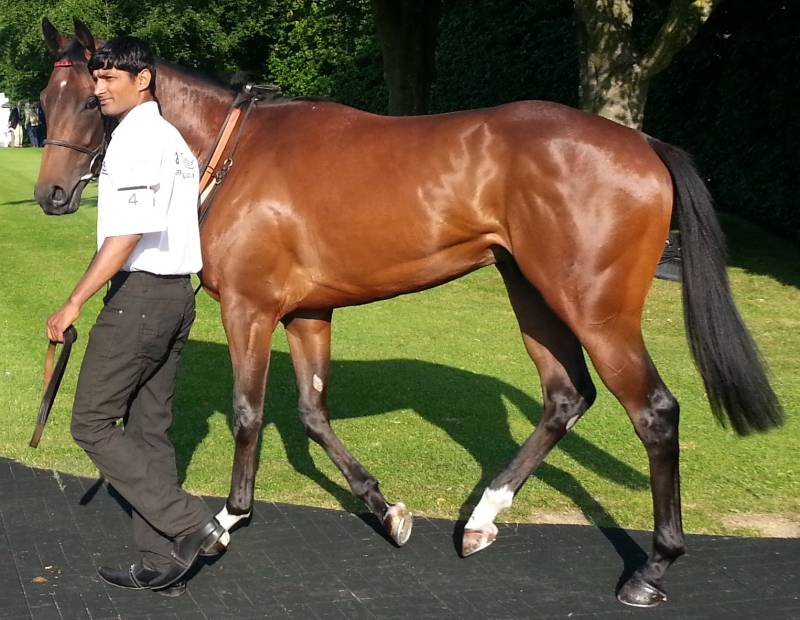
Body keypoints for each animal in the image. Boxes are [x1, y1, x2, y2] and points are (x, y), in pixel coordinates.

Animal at [35, 18, 782, 607]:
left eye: (92, 98)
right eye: (45, 98)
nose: (50, 195)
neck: (236, 151)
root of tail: (644, 145)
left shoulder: (252, 309)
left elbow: (250, 414)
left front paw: (225, 521)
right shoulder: (308, 312)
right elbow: (312, 412)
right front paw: (385, 508)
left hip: (596, 309)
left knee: (654, 412)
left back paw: (652, 569)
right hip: (532, 292)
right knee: (566, 396)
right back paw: (482, 518)